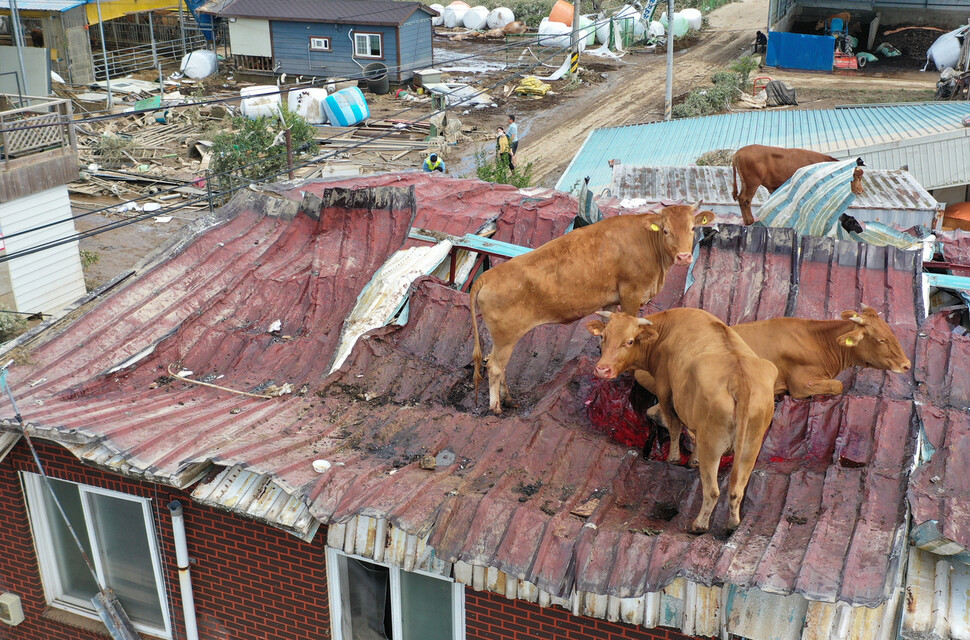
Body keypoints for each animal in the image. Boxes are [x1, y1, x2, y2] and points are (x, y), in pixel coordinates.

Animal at [472, 205, 716, 416]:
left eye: (692, 228)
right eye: (666, 230)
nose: (684, 257)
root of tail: (487, 276)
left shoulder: (611, 299)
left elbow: (608, 324)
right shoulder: (631, 294)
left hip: (504, 339)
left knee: (497, 364)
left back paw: (509, 400)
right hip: (505, 338)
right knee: (494, 367)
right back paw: (497, 407)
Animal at [588, 308, 776, 532]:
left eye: (630, 341)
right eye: (603, 336)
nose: (602, 369)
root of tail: (740, 381)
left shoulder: (665, 389)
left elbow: (674, 425)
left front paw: (674, 458)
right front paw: (692, 459)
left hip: (713, 447)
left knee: (712, 491)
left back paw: (699, 525)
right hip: (750, 449)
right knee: (736, 490)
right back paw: (732, 524)